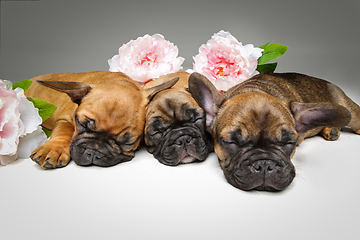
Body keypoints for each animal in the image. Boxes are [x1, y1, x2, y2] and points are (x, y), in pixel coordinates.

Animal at [24, 71, 178, 169]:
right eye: (81, 124)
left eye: (129, 142)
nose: (94, 152)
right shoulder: (65, 118)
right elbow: (64, 130)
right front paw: (53, 149)